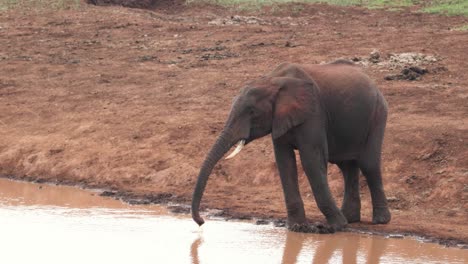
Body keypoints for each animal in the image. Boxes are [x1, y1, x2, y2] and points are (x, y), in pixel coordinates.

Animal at [190, 59, 392, 231]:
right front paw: (297, 227)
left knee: (368, 164)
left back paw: (379, 220)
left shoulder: (314, 113)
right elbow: (285, 163)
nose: (201, 222)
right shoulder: (279, 119)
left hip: (378, 113)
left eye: (252, 111)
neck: (272, 81)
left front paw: (336, 226)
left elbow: (311, 162)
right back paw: (351, 218)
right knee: (347, 166)